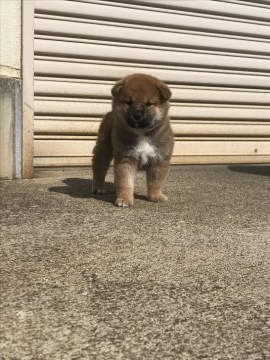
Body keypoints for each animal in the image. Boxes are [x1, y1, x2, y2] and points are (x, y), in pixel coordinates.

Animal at [92, 73, 174, 207]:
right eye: (128, 102)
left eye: (149, 104)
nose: (137, 115)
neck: (142, 133)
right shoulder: (126, 159)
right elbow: (125, 182)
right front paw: (124, 199)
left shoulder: (160, 159)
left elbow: (156, 182)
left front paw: (156, 196)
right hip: (103, 149)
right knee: (99, 167)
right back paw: (98, 187)